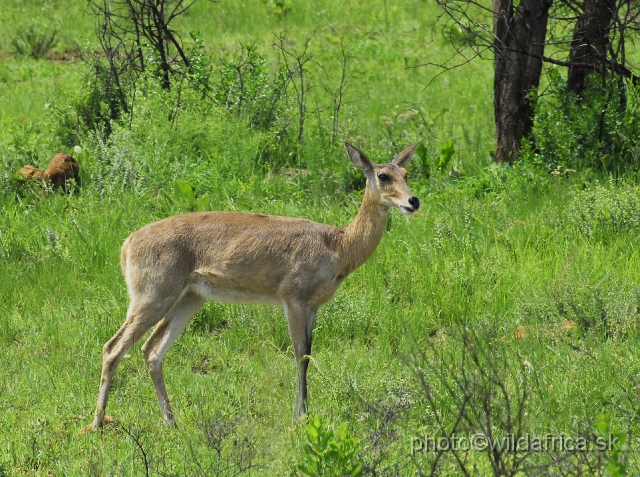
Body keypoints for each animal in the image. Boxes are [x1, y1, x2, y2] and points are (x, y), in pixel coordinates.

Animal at [90, 141, 420, 428]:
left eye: (406, 173)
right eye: (382, 175)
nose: (413, 201)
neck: (338, 246)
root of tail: (127, 244)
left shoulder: (313, 306)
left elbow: (308, 354)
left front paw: (305, 412)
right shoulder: (293, 298)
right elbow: (300, 354)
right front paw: (300, 416)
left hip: (189, 298)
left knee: (152, 351)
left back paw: (171, 422)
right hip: (151, 297)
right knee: (113, 347)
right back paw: (98, 423)